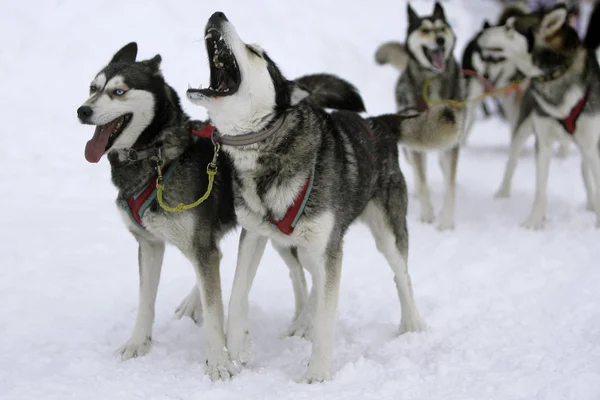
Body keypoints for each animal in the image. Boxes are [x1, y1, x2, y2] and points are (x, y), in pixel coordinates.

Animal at [75, 42, 366, 380]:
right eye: (93, 88)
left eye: (119, 91)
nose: (82, 111)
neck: (160, 159)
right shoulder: (150, 244)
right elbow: (146, 301)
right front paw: (138, 344)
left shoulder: (201, 245)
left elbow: (215, 312)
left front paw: (219, 362)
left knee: (299, 273)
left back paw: (301, 323)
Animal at [376, 1, 464, 230]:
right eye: (424, 30)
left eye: (441, 28)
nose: (440, 40)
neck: (431, 80)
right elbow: (423, 181)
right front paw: (427, 214)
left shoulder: (452, 140)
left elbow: (450, 184)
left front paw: (446, 221)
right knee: (417, 169)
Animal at [480, 4, 600, 228]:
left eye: (510, 28)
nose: (481, 33)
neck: (557, 73)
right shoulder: (543, 142)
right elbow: (540, 188)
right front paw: (534, 221)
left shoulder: (591, 143)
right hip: (523, 129)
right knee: (512, 161)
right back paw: (503, 192)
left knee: (585, 170)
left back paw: (592, 202)